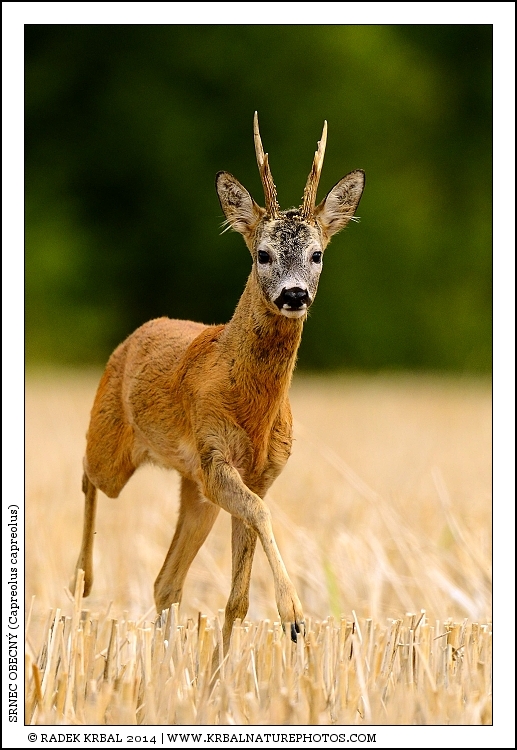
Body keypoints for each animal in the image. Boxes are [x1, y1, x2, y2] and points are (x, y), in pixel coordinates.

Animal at [70, 113, 364, 650]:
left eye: (317, 255)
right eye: (263, 254)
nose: (294, 294)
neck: (254, 411)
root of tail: (131, 338)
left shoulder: (259, 474)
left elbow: (236, 600)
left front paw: (226, 665)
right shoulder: (215, 455)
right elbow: (262, 516)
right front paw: (294, 616)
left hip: (193, 488)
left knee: (166, 581)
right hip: (119, 449)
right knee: (86, 470)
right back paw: (81, 581)